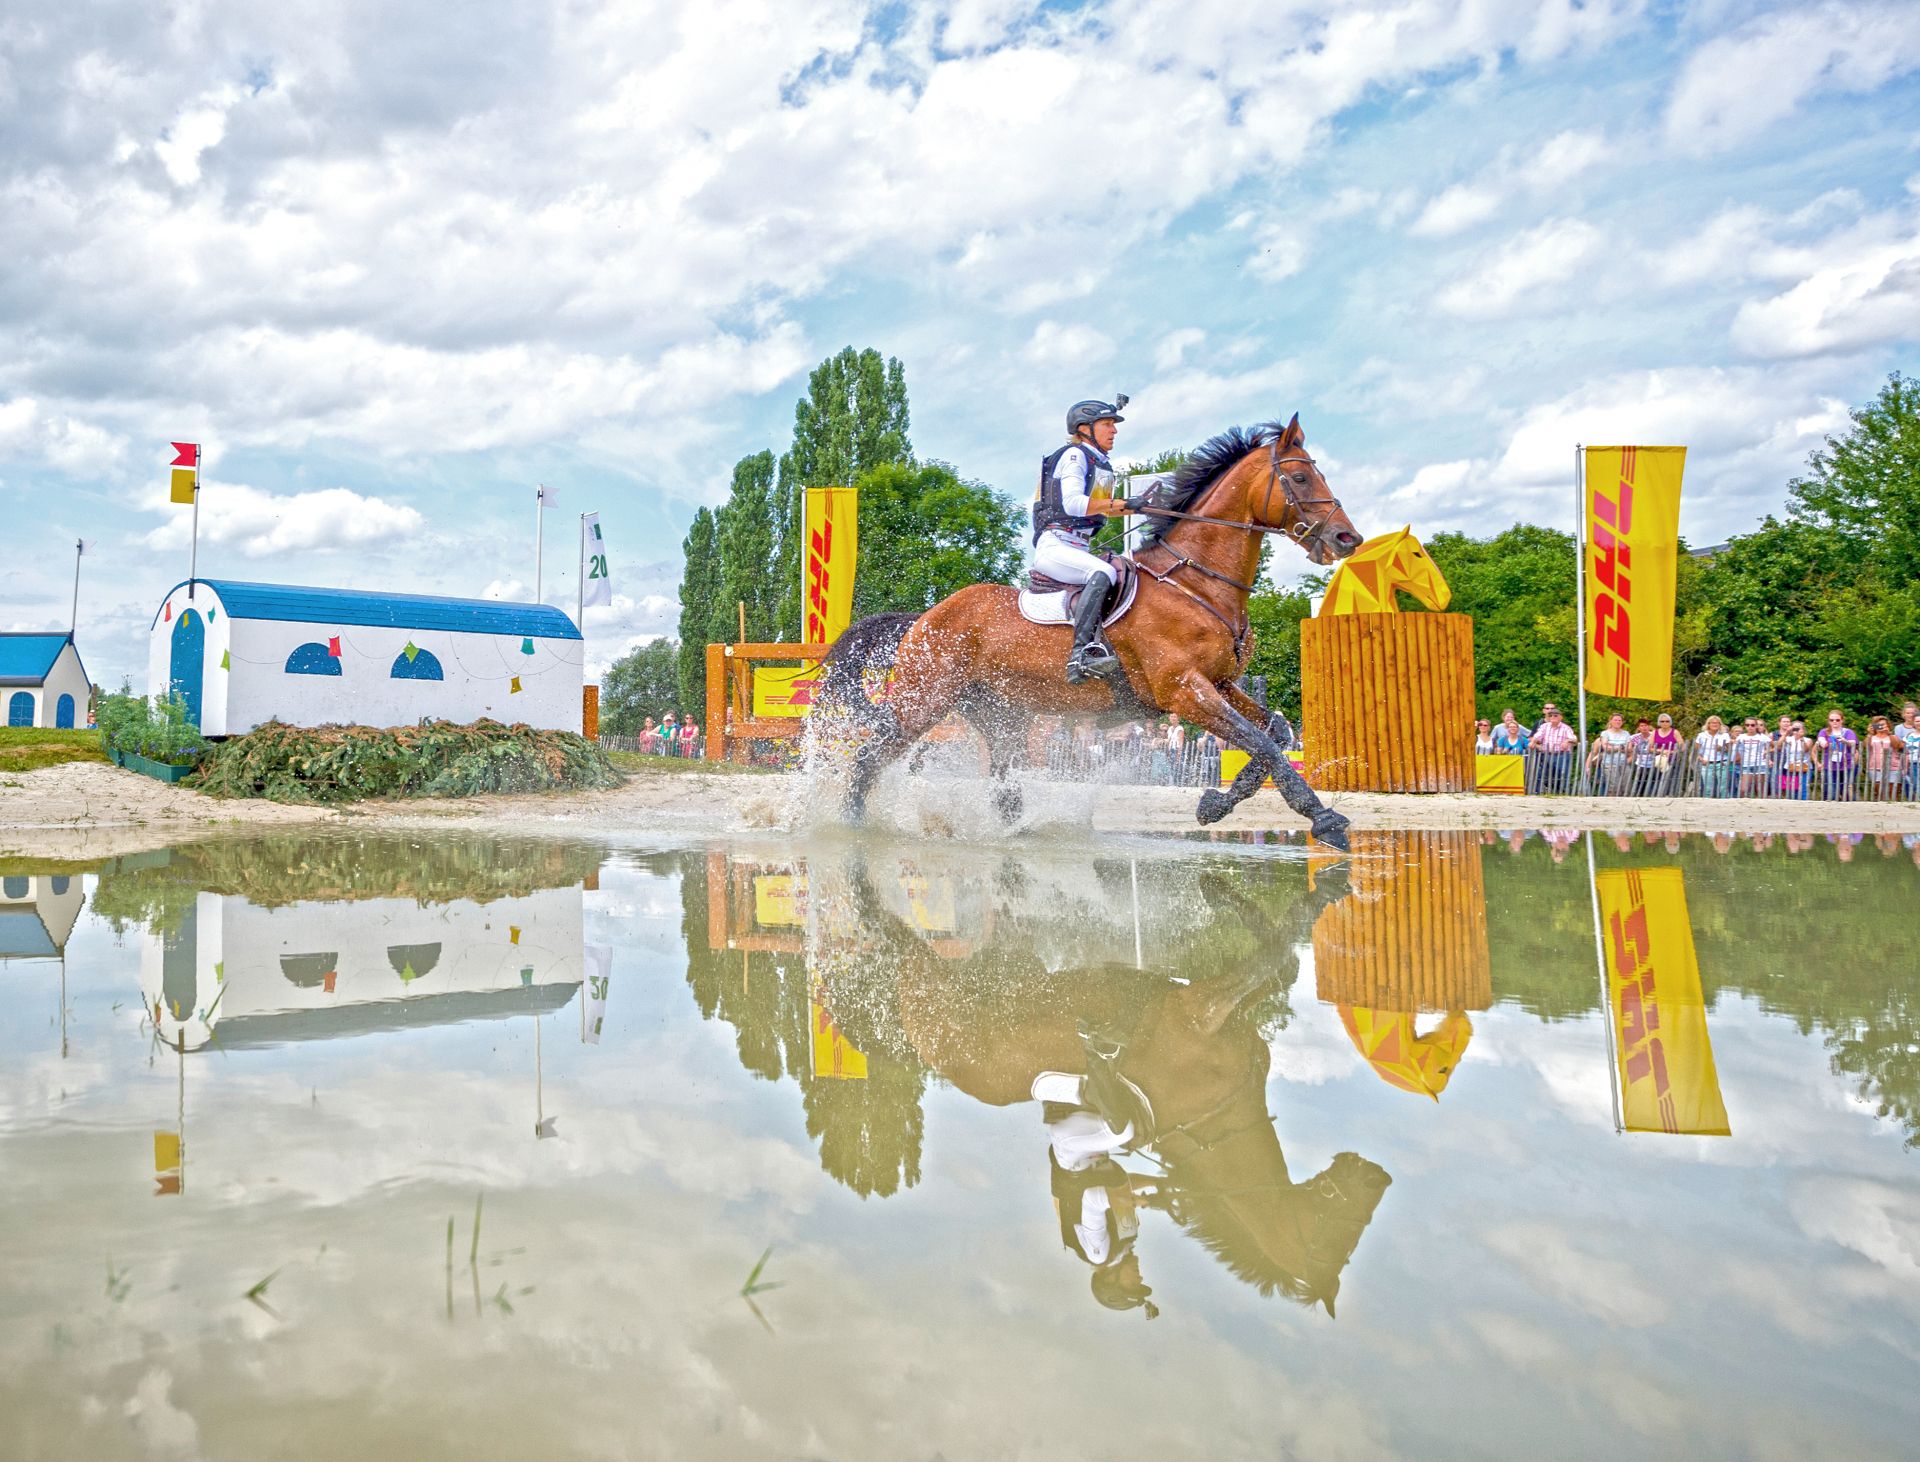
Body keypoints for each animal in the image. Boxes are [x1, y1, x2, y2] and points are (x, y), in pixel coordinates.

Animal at [814, 416, 1367, 845]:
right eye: (1299, 477)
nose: (1348, 539)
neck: (1195, 584)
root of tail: (925, 617)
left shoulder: (1221, 683)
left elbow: (1274, 732)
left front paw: (1215, 803)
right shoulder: (1184, 691)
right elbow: (1262, 742)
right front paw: (1326, 820)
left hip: (999, 715)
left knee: (1002, 781)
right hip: (922, 704)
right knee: (868, 757)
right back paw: (849, 829)